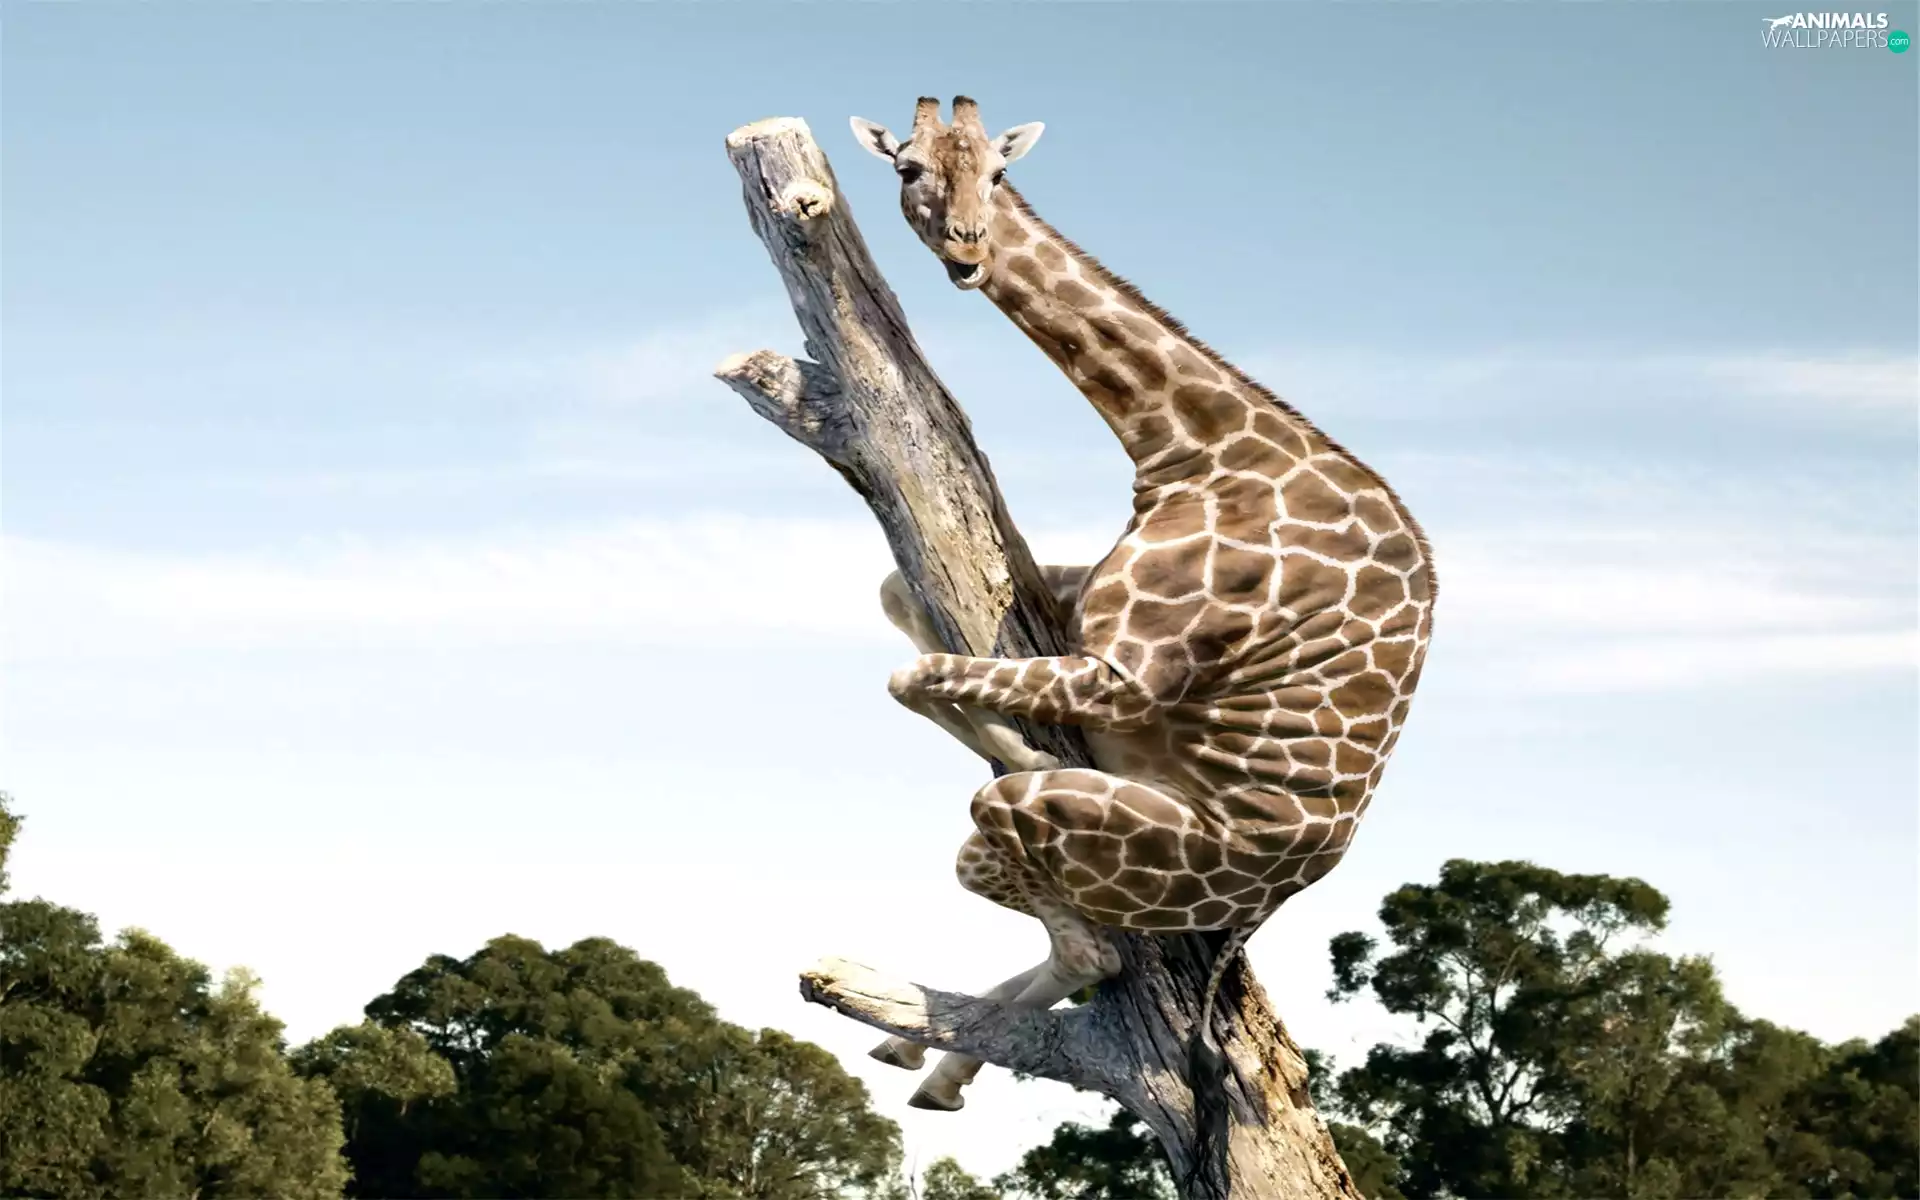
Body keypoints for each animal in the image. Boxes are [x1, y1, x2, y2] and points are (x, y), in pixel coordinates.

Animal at [848, 96, 1437, 1115]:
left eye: (998, 174)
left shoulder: (1123, 674)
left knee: (1081, 934)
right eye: (908, 167)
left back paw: (938, 1063)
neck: (1192, 447)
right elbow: (899, 607)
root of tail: (1265, 903)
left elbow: (912, 675)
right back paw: (919, 1057)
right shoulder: (1078, 611)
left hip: (1072, 836)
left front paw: (1022, 744)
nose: (967, 251)